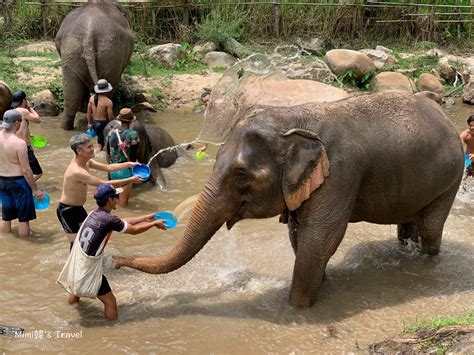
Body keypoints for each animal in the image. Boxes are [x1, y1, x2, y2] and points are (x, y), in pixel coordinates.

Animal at [55, 0, 133, 131]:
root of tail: (89, 34)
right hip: (111, 54)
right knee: (109, 90)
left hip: (72, 53)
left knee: (71, 95)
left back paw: (65, 128)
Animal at [115, 93, 462, 310]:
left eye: (241, 174)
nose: (116, 261)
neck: (295, 119)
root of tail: (442, 113)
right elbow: (299, 235)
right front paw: (323, 283)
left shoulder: (341, 173)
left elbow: (321, 236)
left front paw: (297, 310)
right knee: (409, 224)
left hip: (452, 177)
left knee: (431, 227)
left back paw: (425, 260)